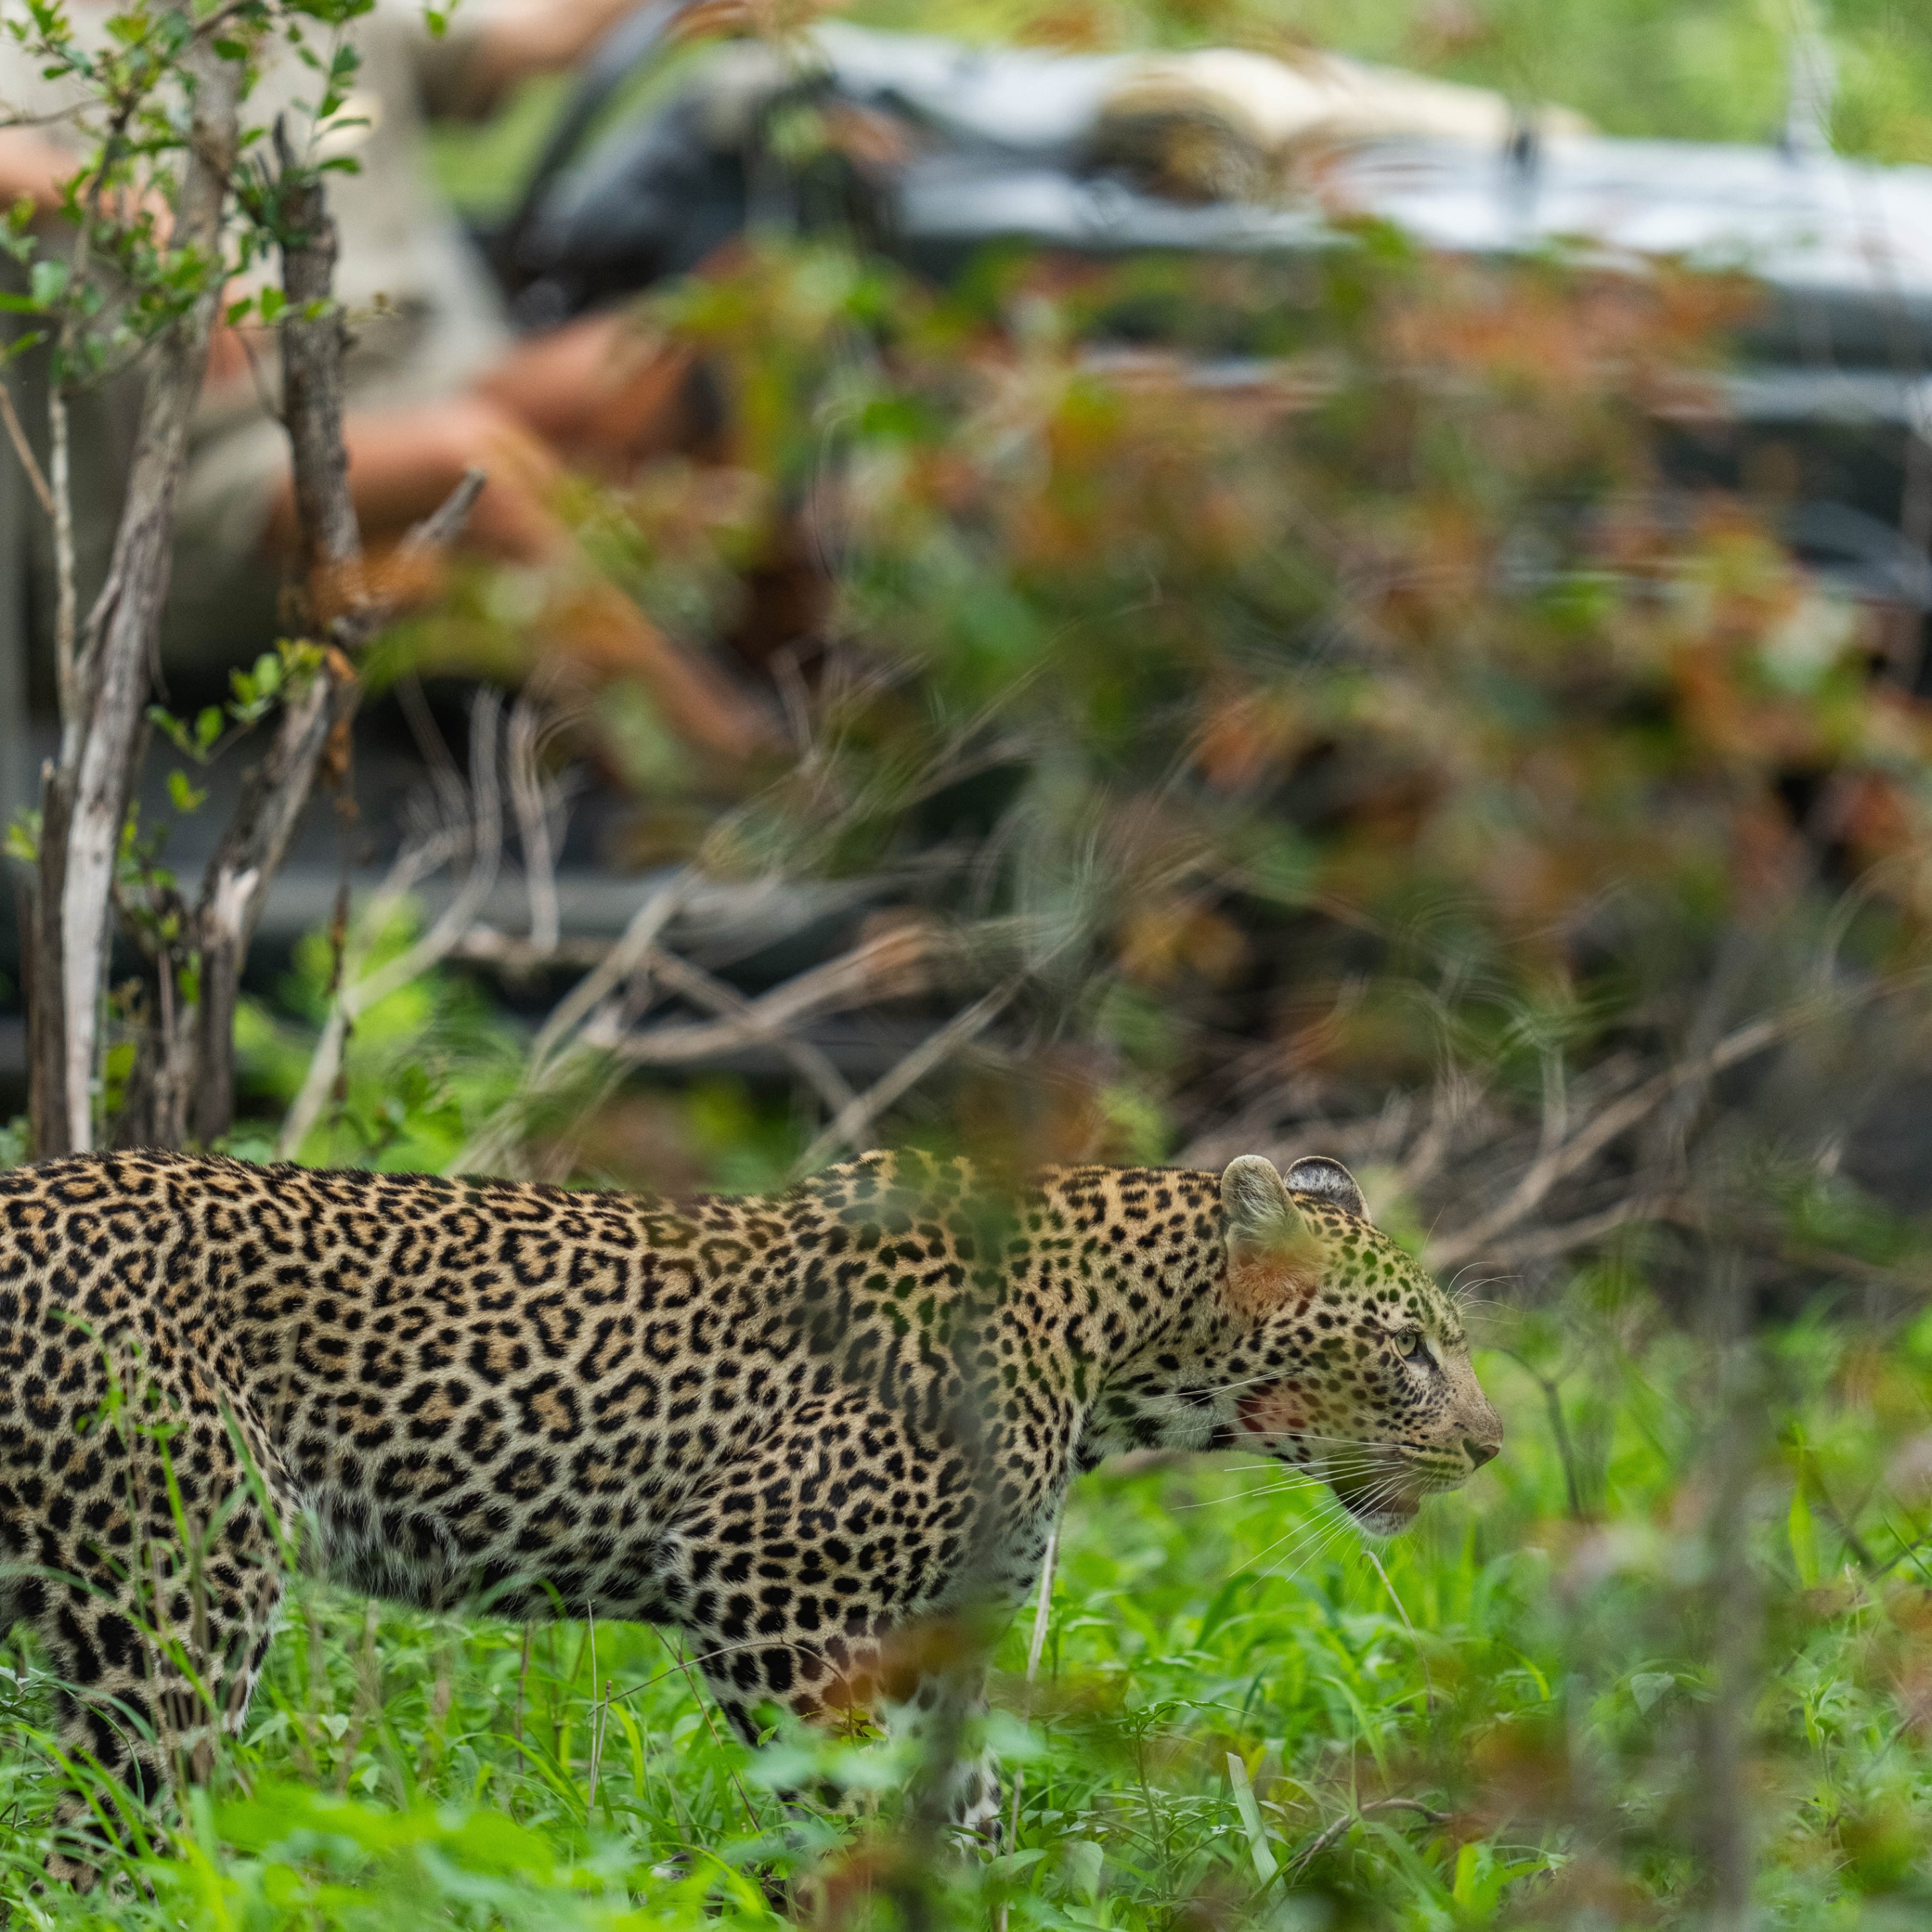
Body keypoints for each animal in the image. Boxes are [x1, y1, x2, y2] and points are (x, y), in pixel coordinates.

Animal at [0, 1143, 1501, 1880]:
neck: (1111, 1359)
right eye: (1408, 1348)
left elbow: (963, 1818)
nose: (1489, 1446)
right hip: (177, 1588)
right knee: (112, 1838)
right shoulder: (768, 1575)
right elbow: (842, 1806)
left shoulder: (942, 1629)